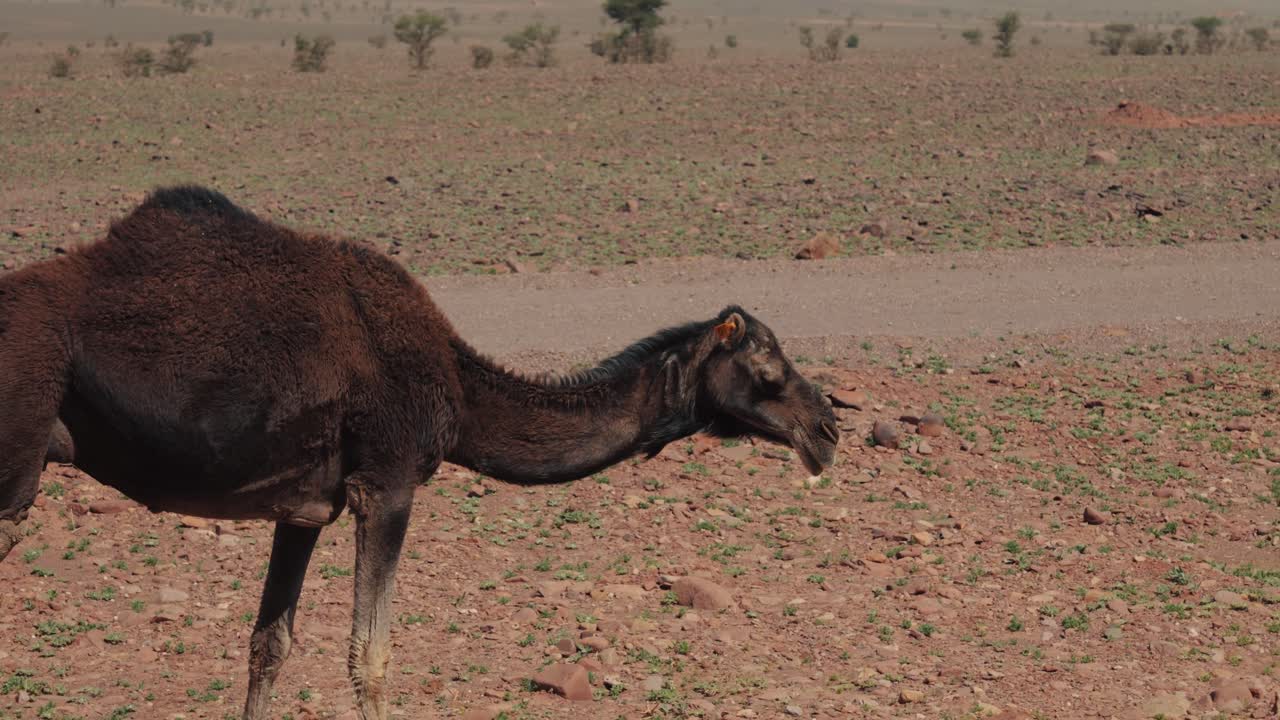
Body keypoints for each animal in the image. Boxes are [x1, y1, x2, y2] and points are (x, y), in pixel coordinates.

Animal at [0, 186, 840, 720]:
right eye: (767, 368)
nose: (827, 429)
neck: (458, 389)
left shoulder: (303, 507)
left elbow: (269, 644)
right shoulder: (387, 483)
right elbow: (370, 659)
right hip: (15, 465)